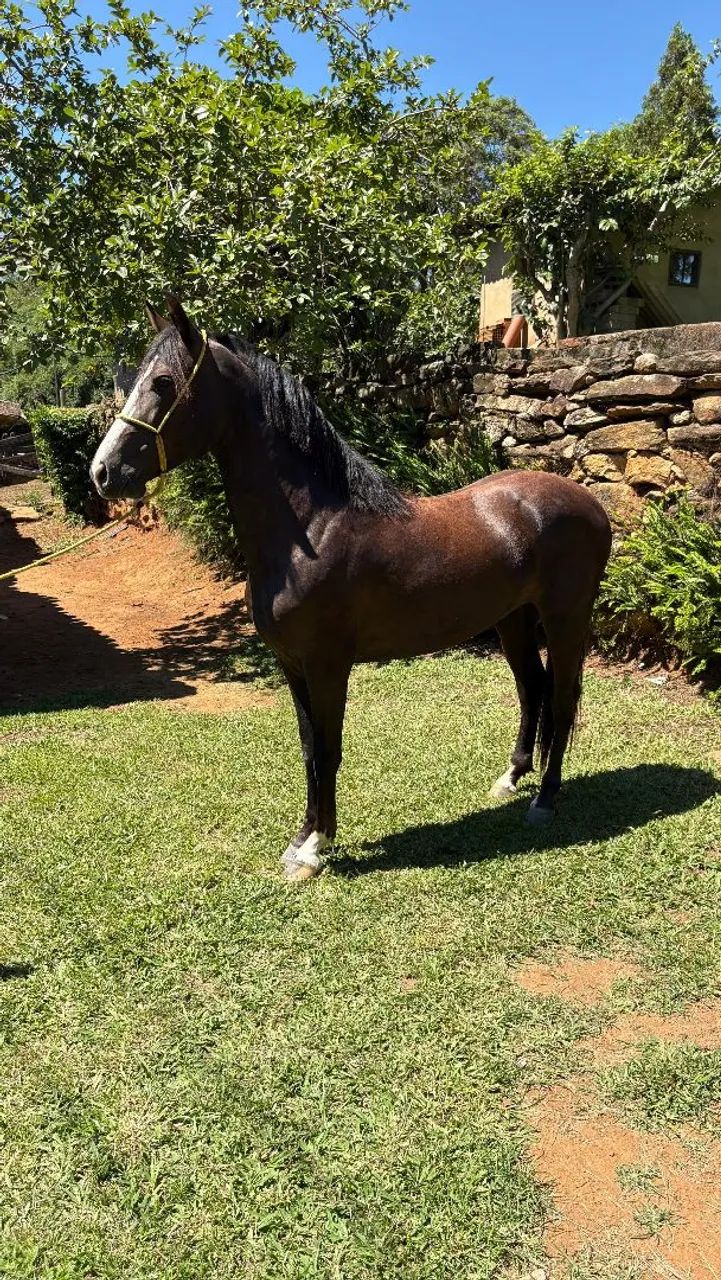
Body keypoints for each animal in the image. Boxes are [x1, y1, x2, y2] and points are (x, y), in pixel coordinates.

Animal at [91, 297, 612, 882]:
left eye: (162, 382)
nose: (103, 472)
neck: (311, 528)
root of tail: (590, 504)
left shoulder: (327, 665)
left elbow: (328, 749)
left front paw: (315, 849)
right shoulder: (293, 666)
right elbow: (308, 751)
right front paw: (303, 839)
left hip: (566, 618)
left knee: (562, 699)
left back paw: (544, 801)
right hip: (512, 620)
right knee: (533, 689)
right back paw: (511, 779)